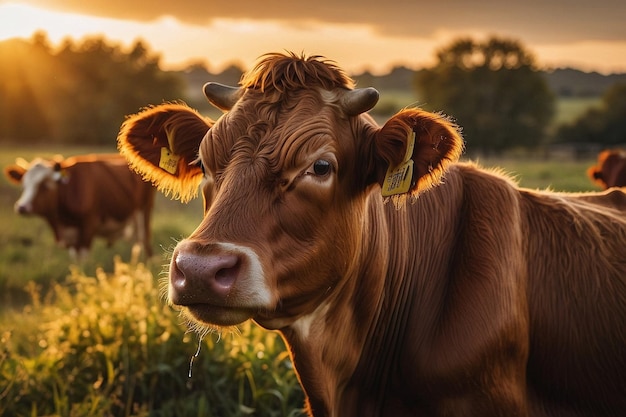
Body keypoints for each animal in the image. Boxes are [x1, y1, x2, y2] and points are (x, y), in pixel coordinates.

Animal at [3, 153, 155, 258]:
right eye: (24, 185)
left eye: (45, 185)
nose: (21, 207)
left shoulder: (88, 226)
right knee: (138, 245)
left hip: (144, 210)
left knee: (145, 241)